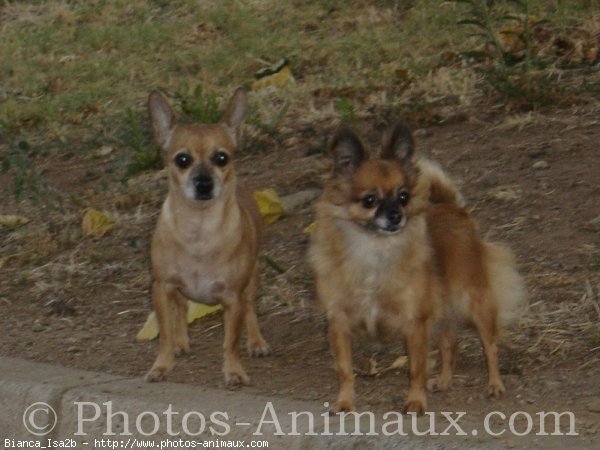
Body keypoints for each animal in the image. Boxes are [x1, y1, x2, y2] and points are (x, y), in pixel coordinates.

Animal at [145, 88, 270, 386]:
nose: (203, 183)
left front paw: (233, 371)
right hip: (175, 290)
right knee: (180, 309)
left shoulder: (233, 298)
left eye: (221, 158)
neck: (198, 232)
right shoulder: (162, 288)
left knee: (251, 309)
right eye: (182, 160)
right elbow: (165, 334)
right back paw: (180, 342)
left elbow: (231, 341)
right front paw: (162, 365)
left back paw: (256, 342)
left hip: (252, 280)